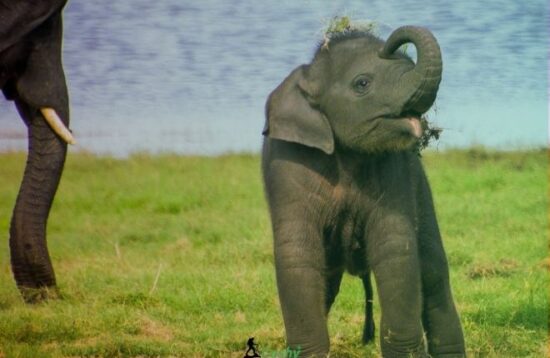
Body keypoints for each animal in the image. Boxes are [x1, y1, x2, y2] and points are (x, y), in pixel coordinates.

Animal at [262, 25, 466, 358]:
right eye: (362, 84)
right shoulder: (287, 163)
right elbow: (297, 253)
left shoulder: (397, 167)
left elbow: (396, 246)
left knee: (434, 275)